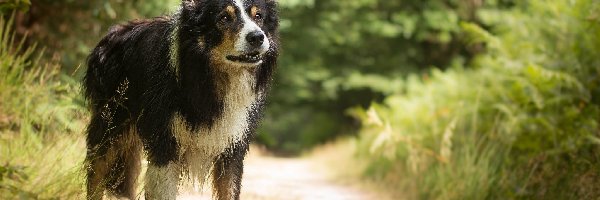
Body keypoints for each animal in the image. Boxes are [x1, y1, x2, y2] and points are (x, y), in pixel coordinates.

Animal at [81, 0, 278, 199]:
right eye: (224, 18)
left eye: (258, 16)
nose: (257, 37)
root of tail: (113, 32)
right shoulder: (165, 145)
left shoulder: (232, 148)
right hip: (111, 123)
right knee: (96, 172)